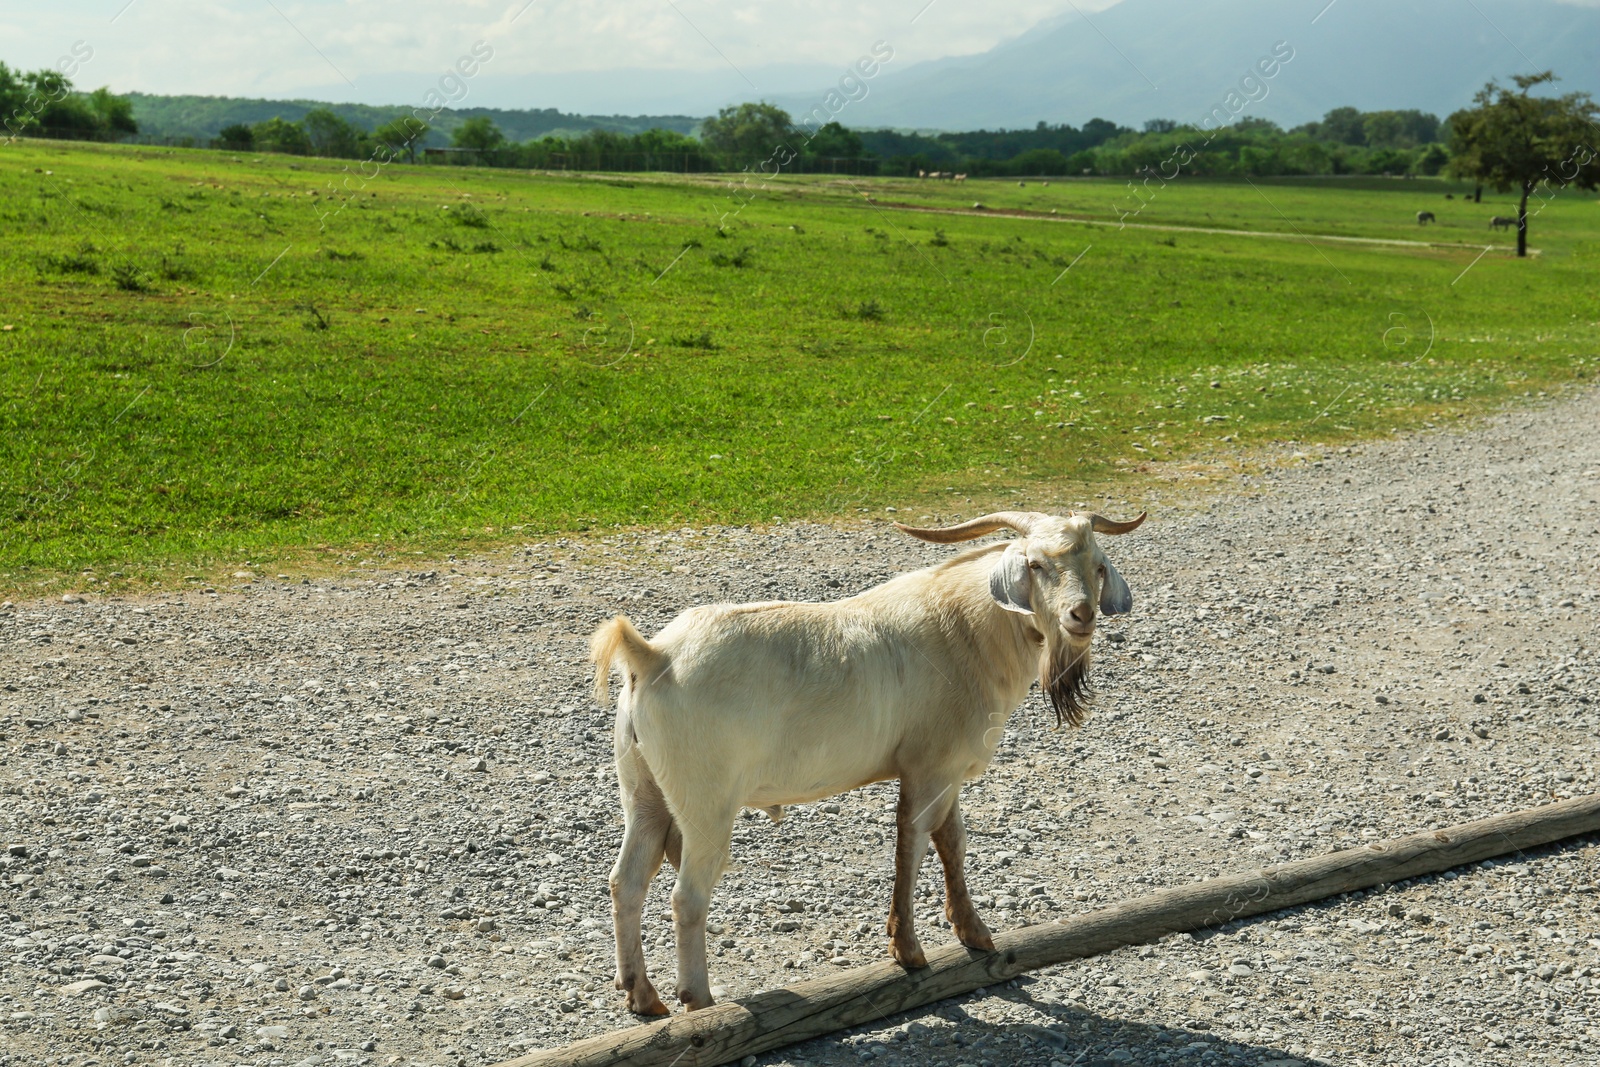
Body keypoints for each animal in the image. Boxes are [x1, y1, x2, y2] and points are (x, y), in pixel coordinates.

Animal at [595, 511, 1145, 1017]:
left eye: (1097, 566)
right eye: (1034, 564)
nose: (1081, 615)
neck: (967, 629)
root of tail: (654, 656)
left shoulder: (947, 772)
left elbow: (952, 842)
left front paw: (975, 933)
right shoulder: (929, 766)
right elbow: (912, 843)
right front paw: (908, 951)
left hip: (643, 792)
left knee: (626, 881)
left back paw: (643, 997)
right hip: (706, 803)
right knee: (687, 896)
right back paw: (700, 1002)